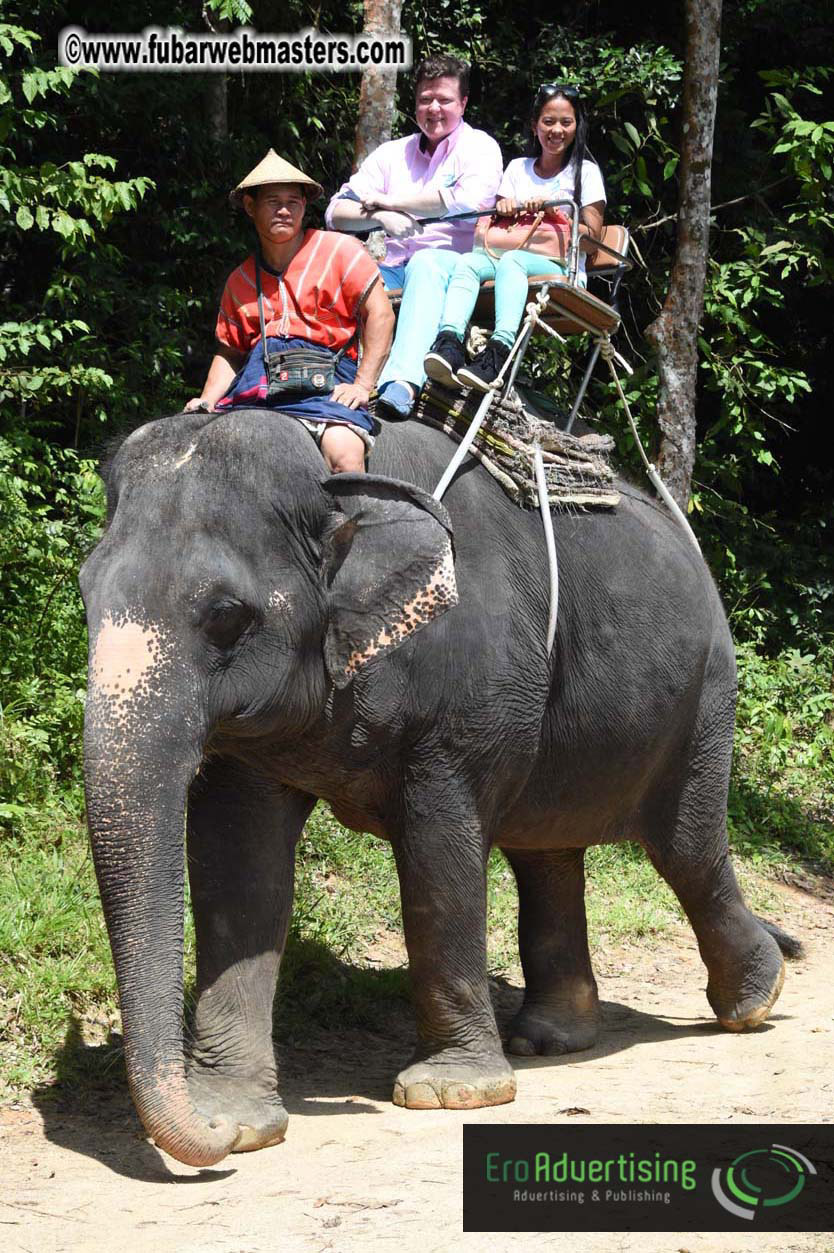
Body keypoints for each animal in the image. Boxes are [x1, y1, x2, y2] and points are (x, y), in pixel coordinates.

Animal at [80, 407, 794, 1169]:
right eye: (86, 595)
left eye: (226, 615)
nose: (206, 1137)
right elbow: (239, 865)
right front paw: (238, 1123)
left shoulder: (466, 701)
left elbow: (438, 848)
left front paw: (451, 1093)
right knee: (548, 850)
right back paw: (550, 1038)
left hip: (704, 695)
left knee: (686, 846)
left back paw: (754, 1001)